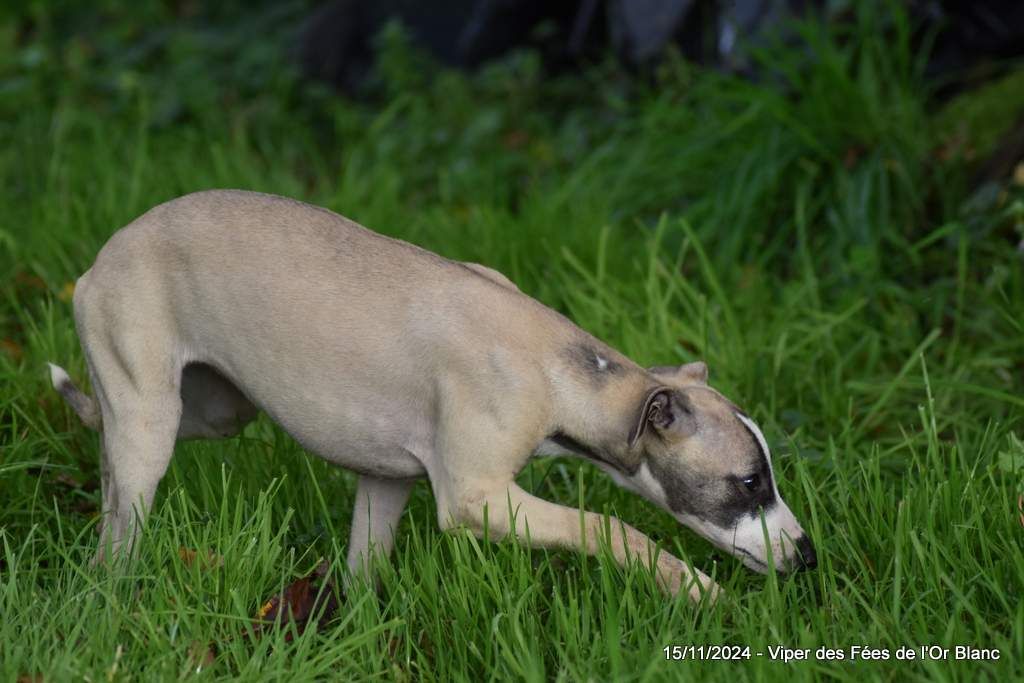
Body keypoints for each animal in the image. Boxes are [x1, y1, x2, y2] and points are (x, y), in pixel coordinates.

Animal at [48, 189, 819, 602]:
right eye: (749, 481)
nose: (808, 555)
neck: (557, 366)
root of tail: (99, 259)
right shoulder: (477, 500)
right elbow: (611, 527)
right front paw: (695, 590)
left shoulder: (386, 481)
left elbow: (365, 571)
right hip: (154, 423)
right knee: (118, 532)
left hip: (212, 411)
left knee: (109, 443)